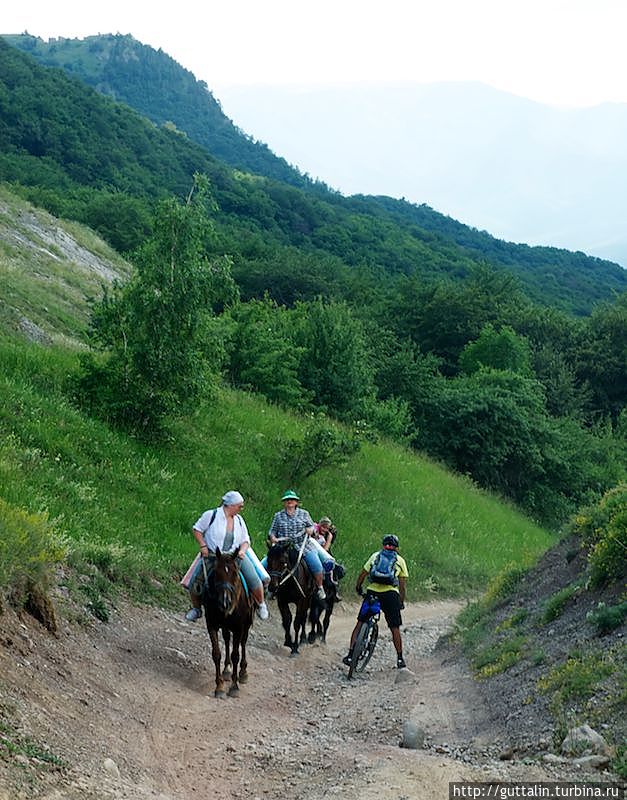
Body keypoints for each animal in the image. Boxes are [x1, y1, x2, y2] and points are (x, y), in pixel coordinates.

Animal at [200, 548, 251, 696]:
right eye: (216, 573)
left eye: (235, 573)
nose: (225, 602)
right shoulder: (211, 624)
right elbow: (216, 654)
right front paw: (219, 687)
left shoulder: (239, 627)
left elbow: (236, 655)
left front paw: (234, 686)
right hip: (226, 626)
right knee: (227, 640)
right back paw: (227, 670)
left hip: (247, 623)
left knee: (243, 643)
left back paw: (243, 672)